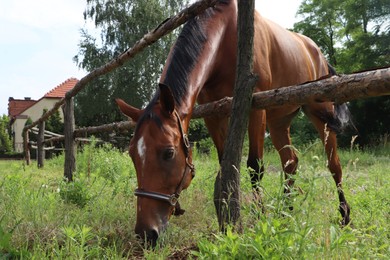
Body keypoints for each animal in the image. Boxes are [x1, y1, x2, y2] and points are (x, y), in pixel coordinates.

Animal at [114, 0, 352, 246]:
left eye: (168, 153)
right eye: (132, 154)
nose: (145, 233)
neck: (227, 33)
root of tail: (318, 54)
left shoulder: (254, 107)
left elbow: (255, 167)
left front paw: (259, 218)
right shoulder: (213, 114)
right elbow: (226, 165)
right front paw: (226, 224)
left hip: (320, 113)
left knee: (334, 165)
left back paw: (344, 216)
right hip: (279, 121)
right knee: (291, 162)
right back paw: (285, 214)